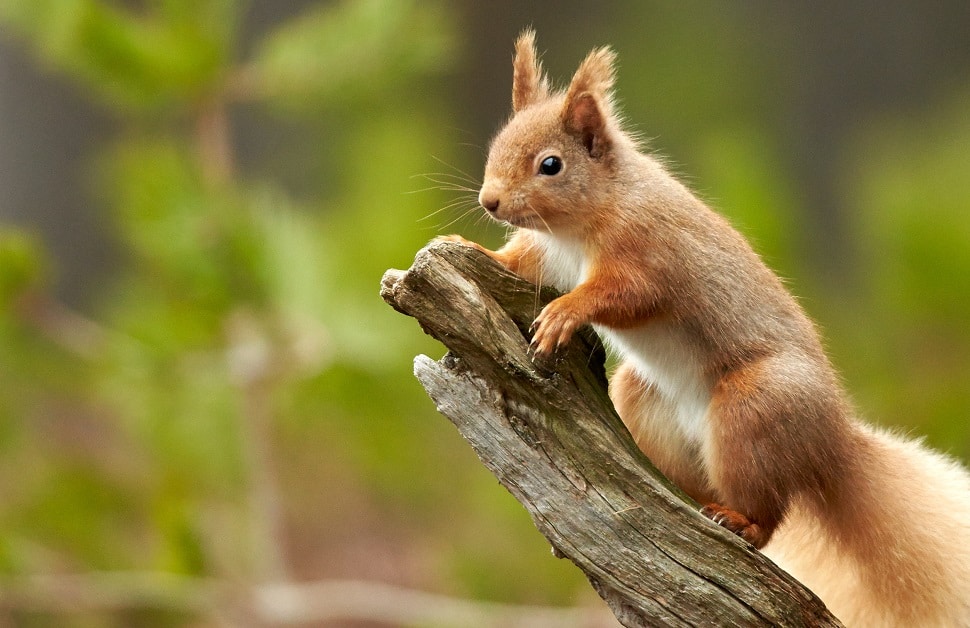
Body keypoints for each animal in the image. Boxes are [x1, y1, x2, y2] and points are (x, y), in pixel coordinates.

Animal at [442, 31, 968, 624]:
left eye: (550, 164)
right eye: (497, 144)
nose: (489, 201)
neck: (584, 219)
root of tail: (830, 444)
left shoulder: (649, 253)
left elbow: (623, 295)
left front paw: (564, 314)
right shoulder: (548, 256)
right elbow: (520, 265)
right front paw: (466, 247)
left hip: (753, 408)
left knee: (769, 513)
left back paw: (740, 521)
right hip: (650, 405)